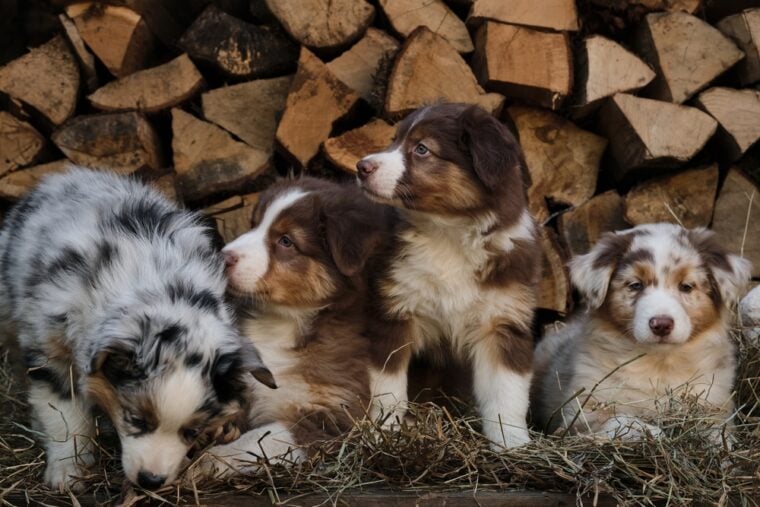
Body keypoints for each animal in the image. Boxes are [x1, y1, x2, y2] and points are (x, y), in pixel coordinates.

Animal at [0, 170, 274, 492]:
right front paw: (69, 470)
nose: (151, 481)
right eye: (136, 419)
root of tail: (65, 176)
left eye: (191, 431)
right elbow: (63, 412)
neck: (160, 285)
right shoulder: (49, 346)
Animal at [196, 178, 392, 476]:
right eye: (254, 223)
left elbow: (262, 438)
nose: (221, 257)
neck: (281, 322)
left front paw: (208, 461)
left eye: (286, 241)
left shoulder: (333, 414)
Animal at [356, 103, 540, 448]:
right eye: (394, 139)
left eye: (422, 149)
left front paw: (512, 443)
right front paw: (385, 434)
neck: (447, 234)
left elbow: (507, 393)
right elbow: (389, 387)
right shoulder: (393, 312)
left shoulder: (501, 321)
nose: (361, 166)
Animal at [532, 224, 752, 438]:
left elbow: (716, 432)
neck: (660, 364)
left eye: (686, 286)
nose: (661, 324)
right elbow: (623, 420)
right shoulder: (584, 412)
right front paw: (655, 433)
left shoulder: (715, 402)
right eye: (635, 285)